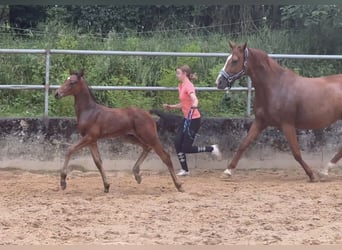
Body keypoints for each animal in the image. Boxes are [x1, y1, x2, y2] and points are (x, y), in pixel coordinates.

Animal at [54, 70, 183, 193]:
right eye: (66, 80)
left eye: (72, 82)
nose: (57, 94)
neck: (89, 111)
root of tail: (147, 113)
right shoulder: (91, 140)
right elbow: (98, 162)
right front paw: (106, 185)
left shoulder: (89, 137)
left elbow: (69, 150)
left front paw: (63, 182)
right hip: (129, 137)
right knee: (146, 147)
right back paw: (137, 174)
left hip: (150, 136)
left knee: (165, 156)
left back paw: (179, 185)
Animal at [216, 41, 342, 182]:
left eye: (235, 60)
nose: (219, 82)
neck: (275, 86)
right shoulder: (260, 122)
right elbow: (243, 144)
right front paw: (227, 171)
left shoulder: (287, 125)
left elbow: (296, 153)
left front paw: (311, 175)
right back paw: (325, 171)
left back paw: (324, 171)